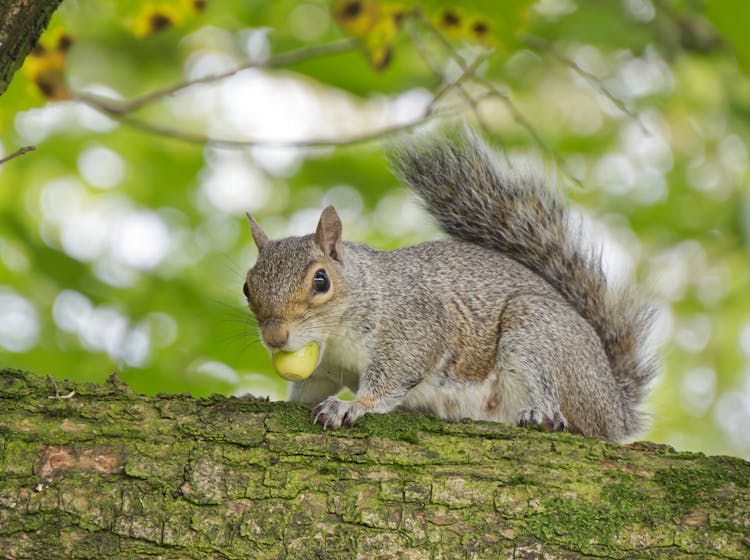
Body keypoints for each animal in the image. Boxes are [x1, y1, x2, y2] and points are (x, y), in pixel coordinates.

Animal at [242, 128, 656, 442]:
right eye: (248, 287)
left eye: (321, 280)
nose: (276, 338)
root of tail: (615, 407)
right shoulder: (326, 370)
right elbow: (306, 391)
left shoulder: (414, 328)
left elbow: (391, 377)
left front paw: (353, 405)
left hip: (539, 336)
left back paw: (544, 417)